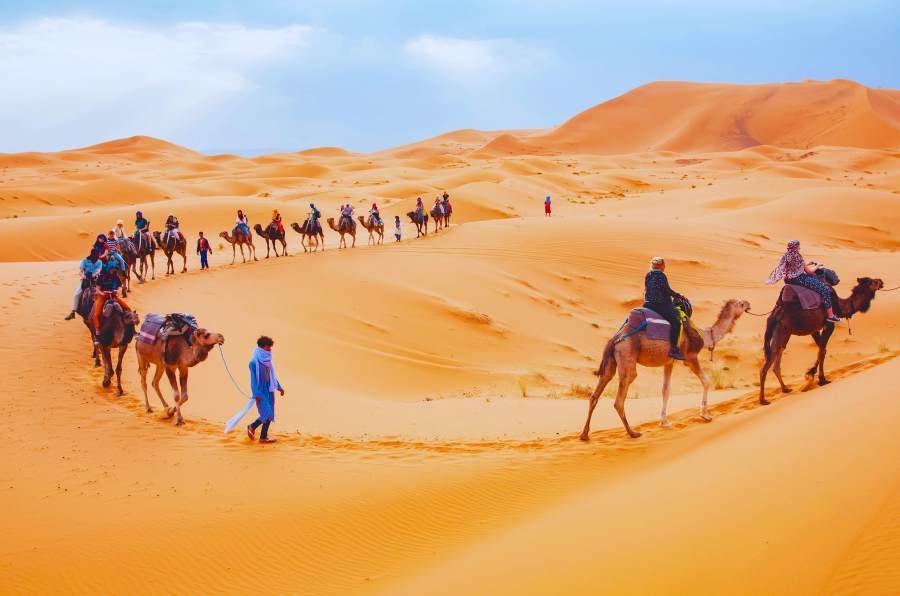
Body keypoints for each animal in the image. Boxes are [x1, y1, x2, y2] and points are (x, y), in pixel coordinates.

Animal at [580, 298, 748, 438]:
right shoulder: (690, 357)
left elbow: (665, 390)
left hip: (611, 362)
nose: (748, 304)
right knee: (620, 398)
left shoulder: (669, 362)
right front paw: (705, 415)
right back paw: (632, 433)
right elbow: (706, 381)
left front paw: (664, 421)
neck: (705, 335)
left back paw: (584, 434)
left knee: (596, 393)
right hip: (627, 355)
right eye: (741, 303)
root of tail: (616, 337)